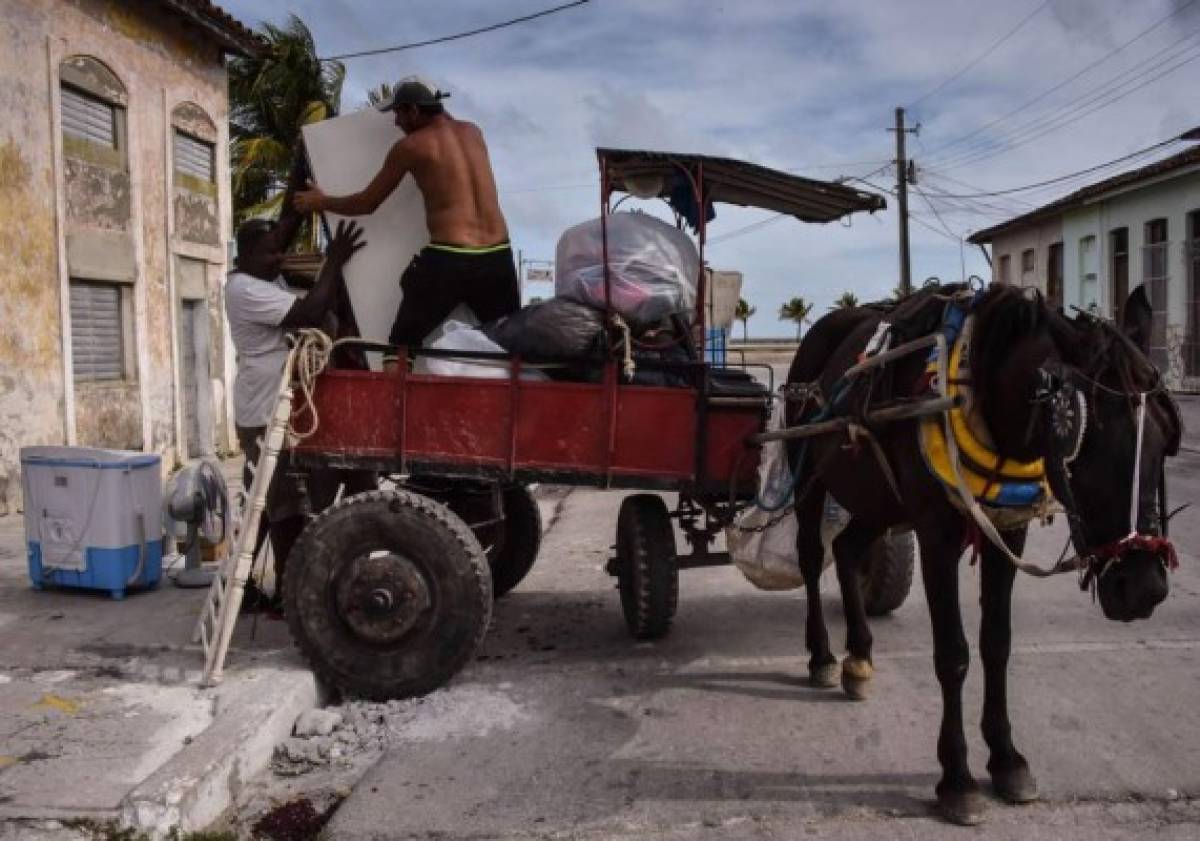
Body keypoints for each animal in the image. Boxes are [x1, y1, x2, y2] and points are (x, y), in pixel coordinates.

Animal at [787, 285, 1180, 825]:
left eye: (1164, 439)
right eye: (1085, 441)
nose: (1143, 588)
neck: (977, 386)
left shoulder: (1009, 533)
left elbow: (997, 644)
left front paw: (1007, 759)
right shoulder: (935, 533)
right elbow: (953, 654)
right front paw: (957, 778)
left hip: (877, 498)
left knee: (846, 549)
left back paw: (860, 657)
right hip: (807, 473)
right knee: (810, 556)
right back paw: (824, 655)